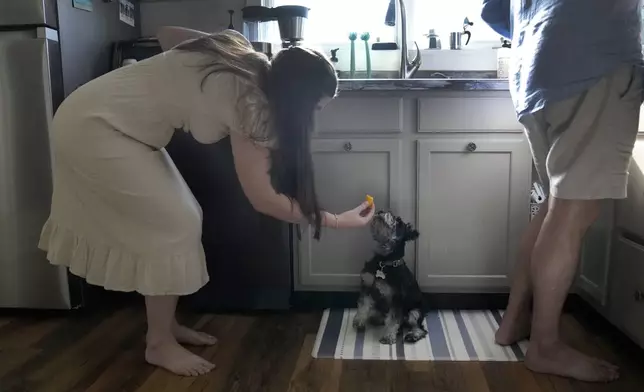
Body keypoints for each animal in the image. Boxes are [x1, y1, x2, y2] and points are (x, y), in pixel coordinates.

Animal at [352, 210, 428, 344]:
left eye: (398, 221)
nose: (380, 211)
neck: (384, 261)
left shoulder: (396, 298)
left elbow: (393, 319)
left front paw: (388, 336)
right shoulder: (367, 286)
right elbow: (363, 304)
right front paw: (359, 320)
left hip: (415, 312)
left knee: (419, 327)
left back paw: (413, 335)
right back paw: (376, 318)